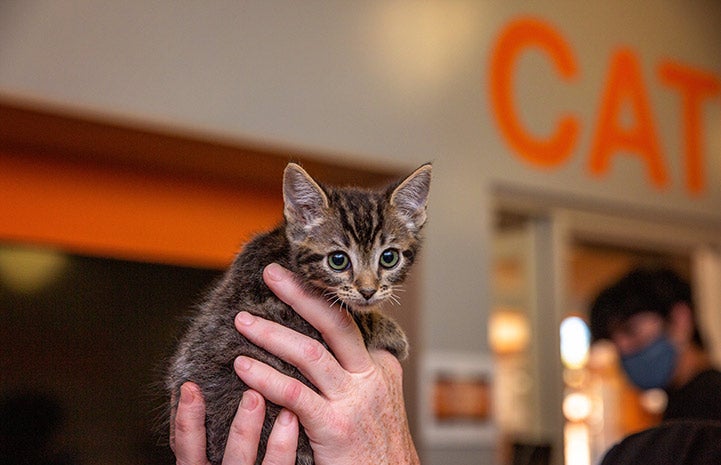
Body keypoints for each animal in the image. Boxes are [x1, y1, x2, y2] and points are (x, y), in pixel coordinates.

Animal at [166, 161, 430, 462]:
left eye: (389, 258)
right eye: (338, 260)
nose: (368, 291)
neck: (287, 251)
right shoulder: (298, 319)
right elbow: (358, 320)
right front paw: (393, 332)